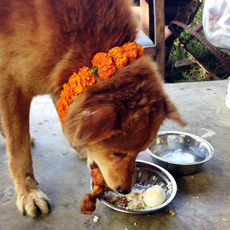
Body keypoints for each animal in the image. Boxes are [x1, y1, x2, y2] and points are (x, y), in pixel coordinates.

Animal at [0, 0, 184, 217]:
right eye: (118, 153)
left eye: (139, 152)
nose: (125, 190)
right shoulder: (12, 85)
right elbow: (19, 153)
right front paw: (29, 193)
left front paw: (80, 144)